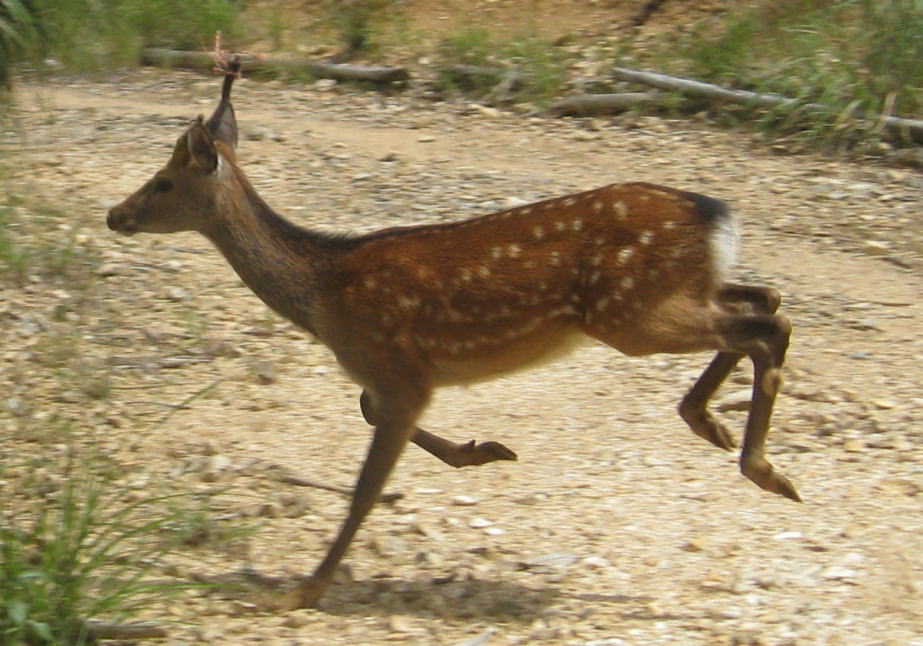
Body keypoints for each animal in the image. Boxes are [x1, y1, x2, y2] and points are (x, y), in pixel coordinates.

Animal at [106, 58, 800, 612]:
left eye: (164, 181)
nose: (116, 214)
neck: (324, 295)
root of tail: (715, 215)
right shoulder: (399, 377)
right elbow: (367, 410)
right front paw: (485, 449)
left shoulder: (398, 367)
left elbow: (364, 487)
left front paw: (302, 590)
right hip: (672, 296)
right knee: (766, 299)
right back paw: (709, 424)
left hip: (631, 312)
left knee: (765, 324)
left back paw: (761, 466)